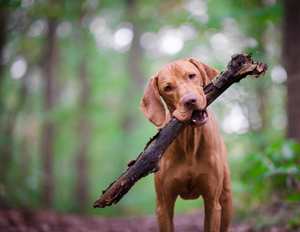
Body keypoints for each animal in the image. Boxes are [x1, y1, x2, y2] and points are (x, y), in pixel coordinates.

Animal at [139, 58, 233, 232]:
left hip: (226, 199)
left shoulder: (212, 204)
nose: (190, 101)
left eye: (191, 76)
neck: (190, 144)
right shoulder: (164, 207)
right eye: (167, 88)